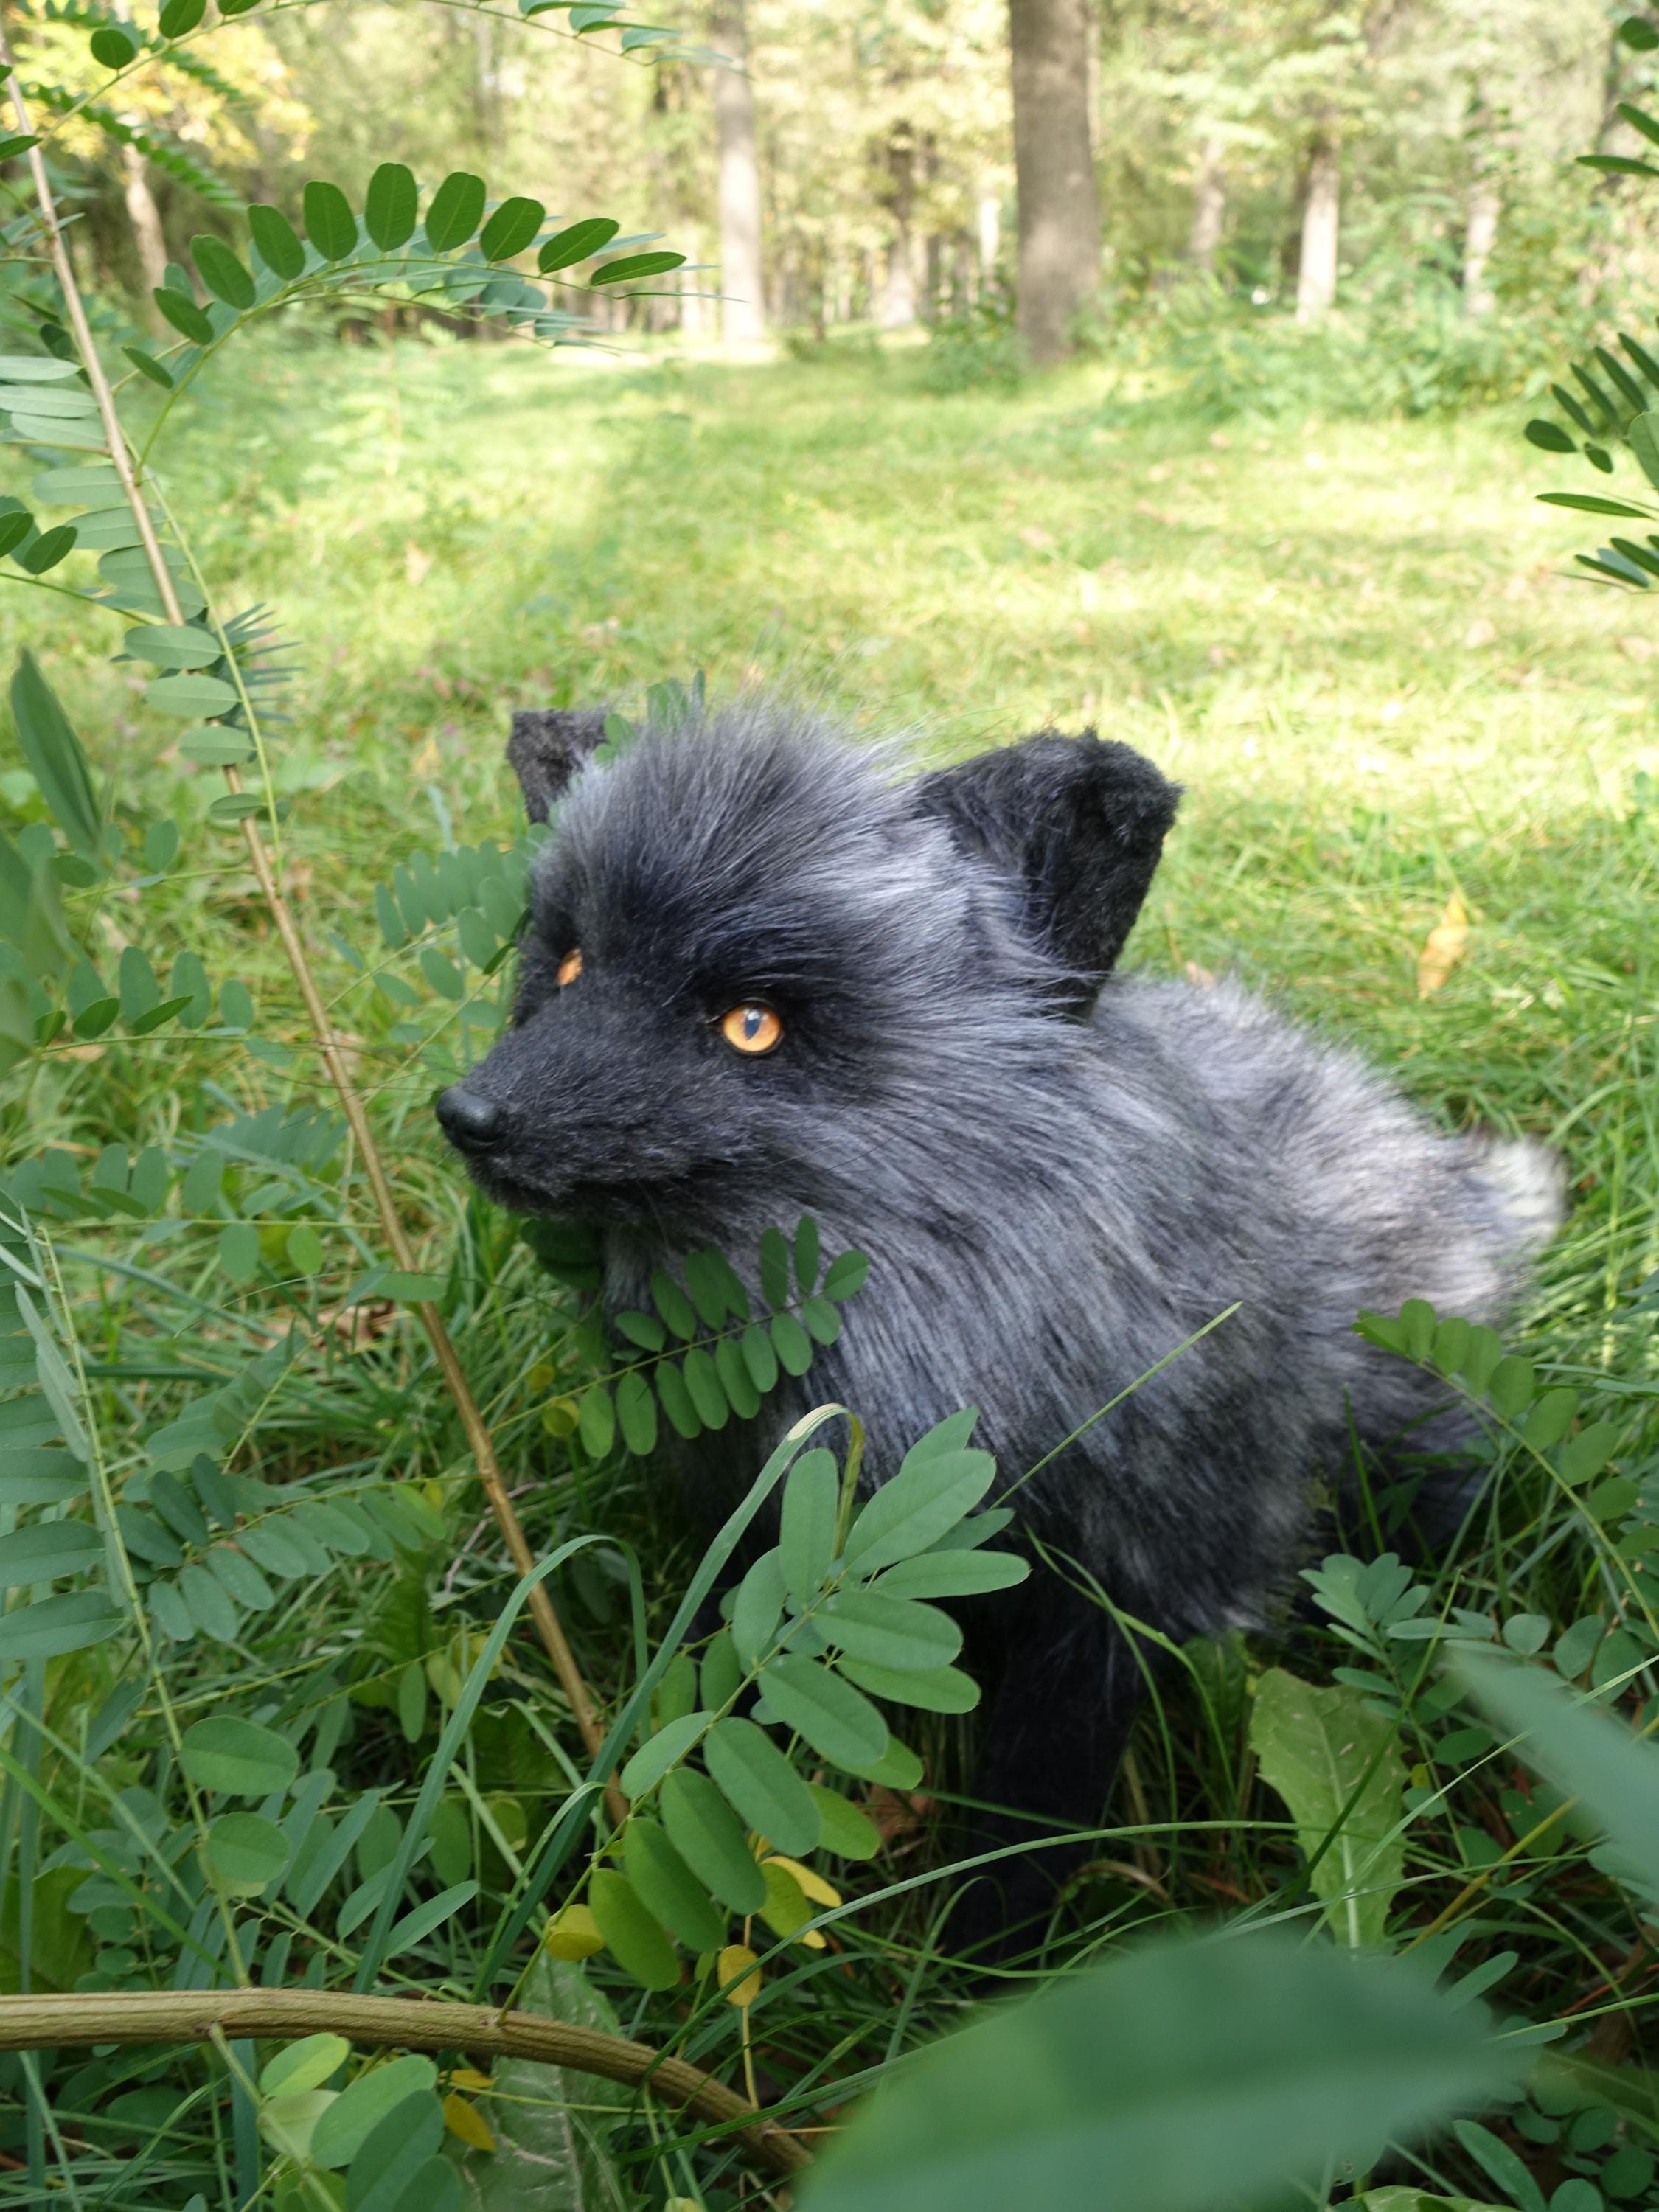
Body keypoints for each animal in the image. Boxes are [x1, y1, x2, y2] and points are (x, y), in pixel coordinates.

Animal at [437, 696, 1562, 1940]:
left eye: (750, 1025)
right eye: (568, 963)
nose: (468, 1115)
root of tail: (1453, 1174)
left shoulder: (1122, 1597)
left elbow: (1033, 1809)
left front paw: (981, 1959)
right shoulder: (768, 1531)